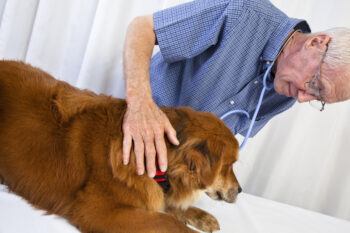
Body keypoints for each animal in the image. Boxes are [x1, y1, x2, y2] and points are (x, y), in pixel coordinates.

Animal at [0, 61, 241, 232]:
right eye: (228, 165)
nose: (240, 190)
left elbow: (171, 208)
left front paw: (201, 216)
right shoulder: (99, 211)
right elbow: (168, 222)